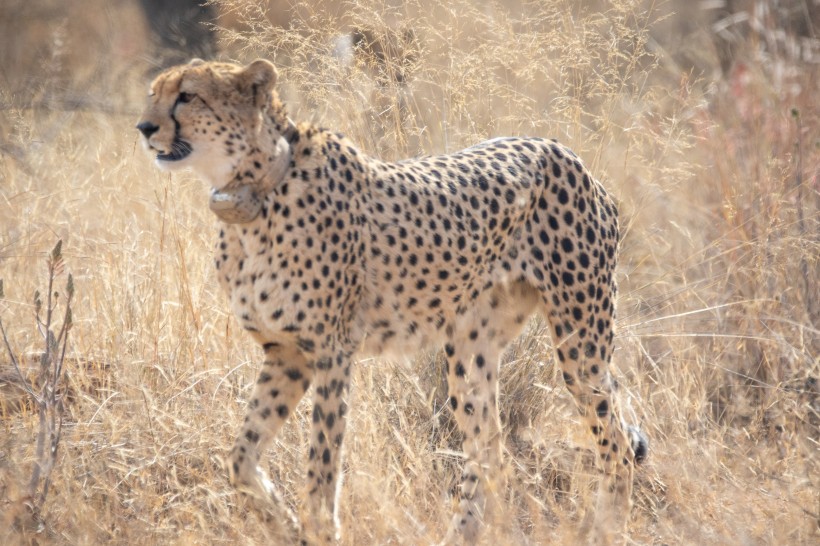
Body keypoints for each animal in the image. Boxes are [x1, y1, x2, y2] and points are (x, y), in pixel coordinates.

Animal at [136, 58, 648, 540]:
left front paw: (317, 529)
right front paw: (283, 523)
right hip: (469, 355)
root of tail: (563, 150)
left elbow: (322, 462)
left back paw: (609, 530)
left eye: (187, 96)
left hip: (580, 341)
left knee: (616, 444)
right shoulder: (285, 352)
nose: (144, 127)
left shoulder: (331, 352)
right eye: (154, 93)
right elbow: (240, 457)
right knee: (490, 455)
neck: (255, 192)